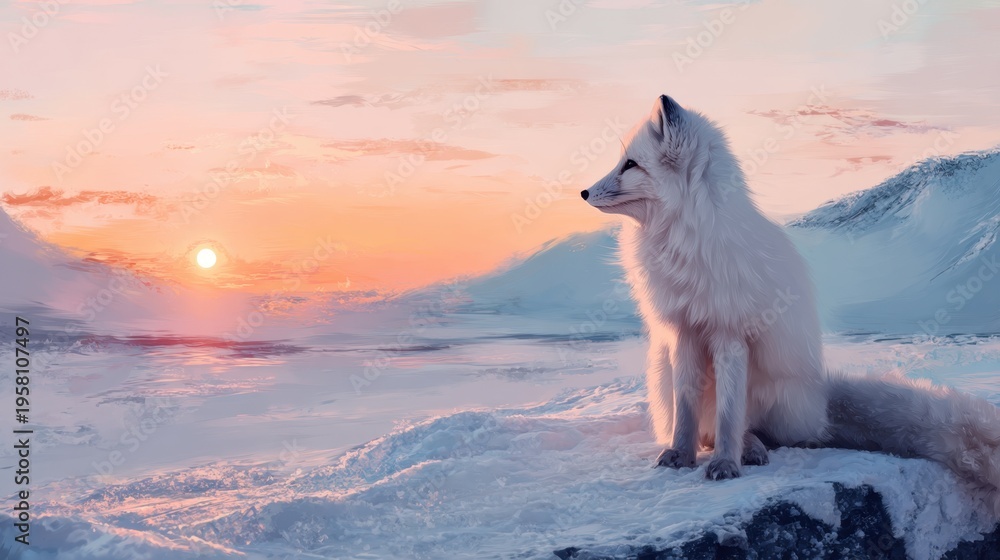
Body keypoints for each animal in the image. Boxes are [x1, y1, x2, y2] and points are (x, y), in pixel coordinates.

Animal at [582, 94, 1000, 514]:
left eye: (630, 164)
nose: (583, 193)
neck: (685, 239)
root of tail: (820, 403)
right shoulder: (683, 332)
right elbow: (687, 413)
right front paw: (681, 456)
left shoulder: (730, 334)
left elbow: (730, 416)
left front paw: (725, 464)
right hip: (665, 373)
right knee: (709, 427)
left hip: (774, 390)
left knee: (759, 428)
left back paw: (751, 448)